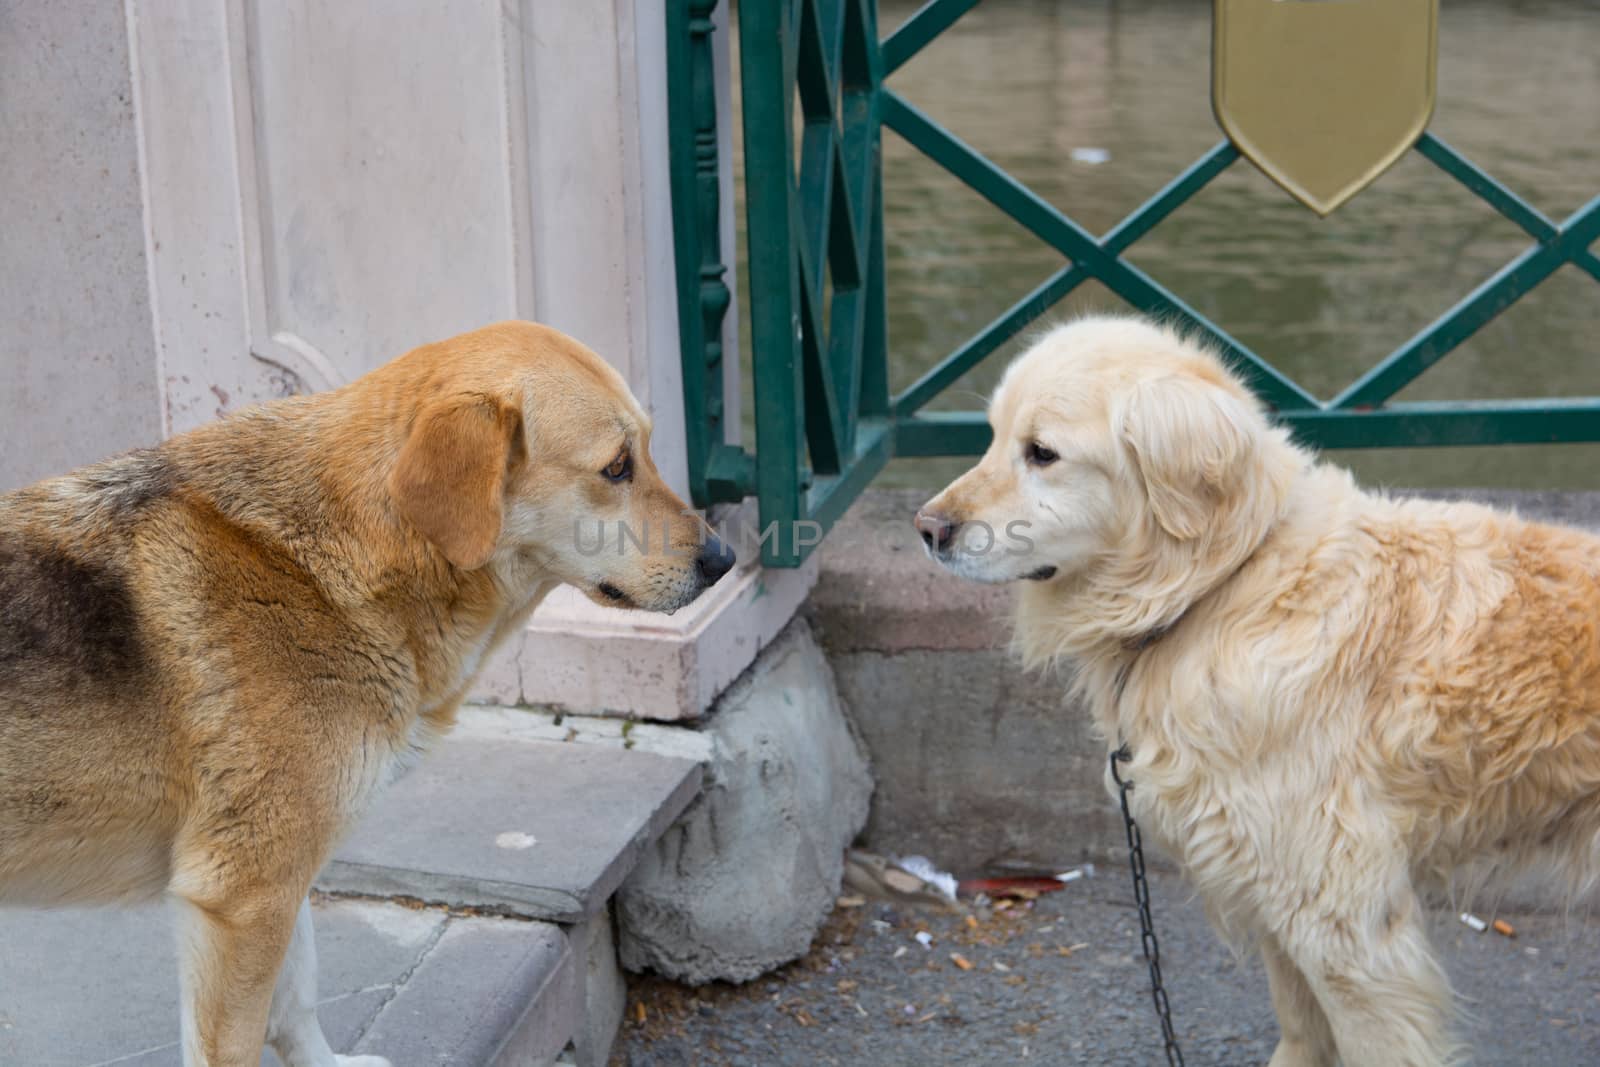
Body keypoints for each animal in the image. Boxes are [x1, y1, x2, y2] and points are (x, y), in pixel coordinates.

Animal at [0, 323, 736, 1067]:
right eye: (617, 467)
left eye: (647, 450)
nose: (726, 560)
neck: (332, 556)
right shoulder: (243, 894)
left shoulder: (278, 884)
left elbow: (296, 1001)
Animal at [915, 316, 1600, 1067]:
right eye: (991, 436)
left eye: (1042, 453)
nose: (926, 528)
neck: (1221, 586)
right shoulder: (1272, 880)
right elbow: (1299, 1019)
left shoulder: (1342, 920)